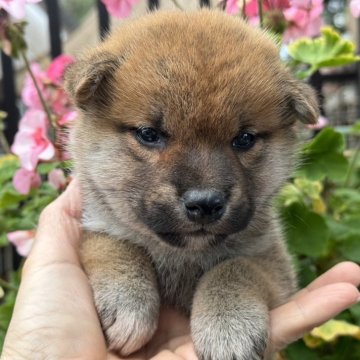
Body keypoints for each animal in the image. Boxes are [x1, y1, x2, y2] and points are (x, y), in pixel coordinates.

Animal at [64, 8, 318, 360]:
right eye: (149, 134)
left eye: (244, 139)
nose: (205, 203)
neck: (180, 258)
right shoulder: (97, 225)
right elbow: (117, 246)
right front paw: (127, 302)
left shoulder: (272, 260)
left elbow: (234, 268)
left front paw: (228, 328)